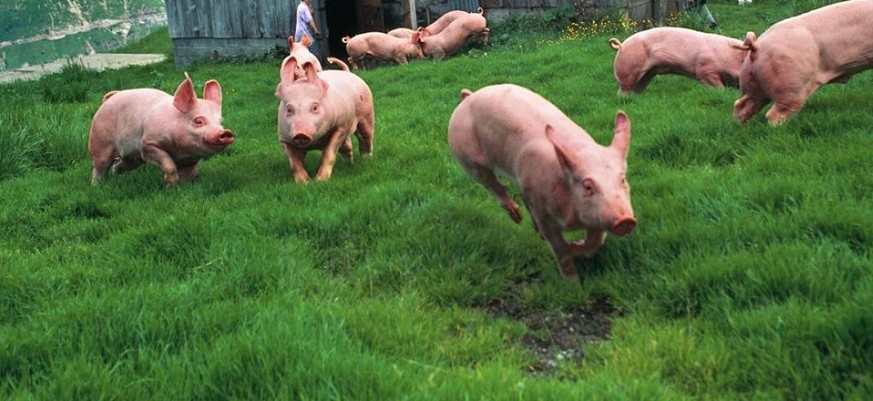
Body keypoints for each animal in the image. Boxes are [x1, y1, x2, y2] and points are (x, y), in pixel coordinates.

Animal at [87, 73, 235, 186]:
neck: (180, 151)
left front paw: (183, 187)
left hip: (132, 158)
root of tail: (109, 98)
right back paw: (96, 186)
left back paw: (114, 174)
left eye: (220, 122)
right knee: (99, 167)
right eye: (198, 121)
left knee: (120, 165)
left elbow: (190, 173)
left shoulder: (190, 159)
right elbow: (169, 164)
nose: (225, 132)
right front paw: (171, 185)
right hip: (100, 142)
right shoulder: (148, 144)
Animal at [450, 83, 632, 278]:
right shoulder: (543, 212)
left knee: (520, 194)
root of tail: (469, 96)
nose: (626, 221)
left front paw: (574, 246)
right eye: (587, 186)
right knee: (492, 185)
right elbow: (559, 248)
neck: (573, 218)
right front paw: (572, 280)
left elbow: (595, 243)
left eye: (622, 180)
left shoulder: (598, 216)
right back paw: (517, 217)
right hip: (467, 159)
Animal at [608, 27, 744, 94]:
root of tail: (621, 45)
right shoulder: (706, 70)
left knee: (637, 88)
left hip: (647, 74)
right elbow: (718, 87)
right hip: (628, 69)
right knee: (623, 90)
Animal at [728, 0, 872, 124]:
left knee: (741, 105)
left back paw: (740, 125)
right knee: (774, 114)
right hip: (791, 87)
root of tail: (756, 47)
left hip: (752, 85)